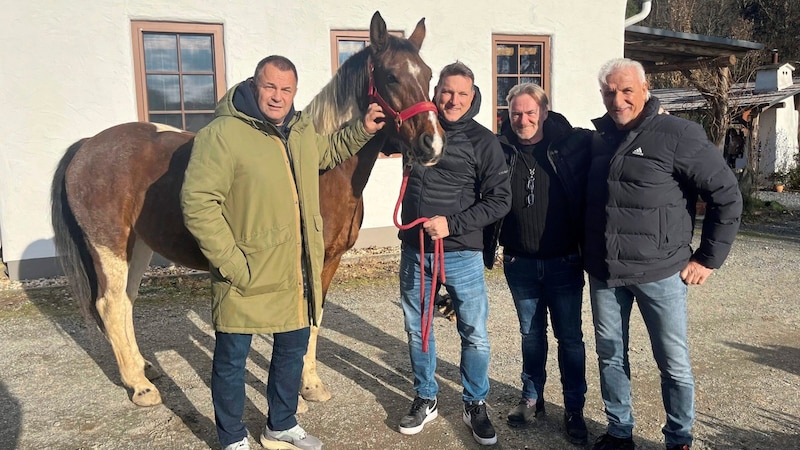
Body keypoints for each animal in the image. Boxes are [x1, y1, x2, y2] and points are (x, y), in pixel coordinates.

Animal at [51, 12, 444, 408]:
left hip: (138, 247)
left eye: (428, 75)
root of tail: (87, 145)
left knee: (125, 303)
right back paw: (141, 387)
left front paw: (310, 384)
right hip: (109, 247)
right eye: (391, 76)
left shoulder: (328, 260)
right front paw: (300, 386)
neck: (324, 173)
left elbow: (315, 319)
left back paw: (144, 368)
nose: (433, 144)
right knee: (110, 305)